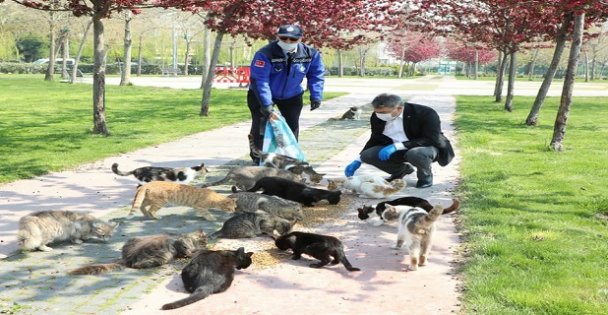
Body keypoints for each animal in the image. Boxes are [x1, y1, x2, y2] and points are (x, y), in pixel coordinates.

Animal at [69, 230, 209, 276]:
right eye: (204, 240)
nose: (206, 241)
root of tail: (127, 258)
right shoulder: (182, 245)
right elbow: (187, 249)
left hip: (132, 240)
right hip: (162, 256)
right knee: (139, 265)